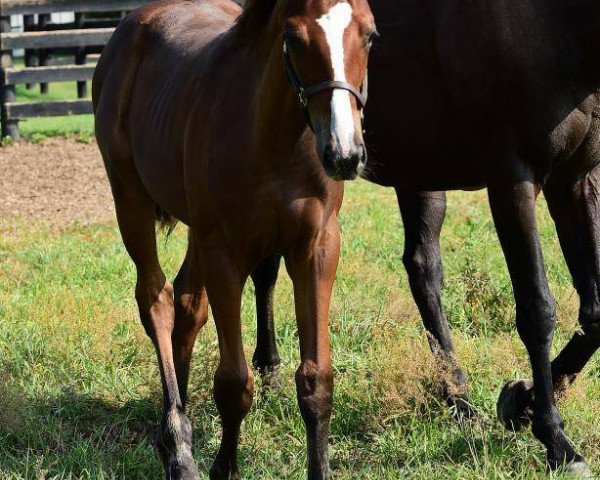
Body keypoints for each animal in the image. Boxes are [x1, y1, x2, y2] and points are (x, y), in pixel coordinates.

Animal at [92, 0, 376, 478]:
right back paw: (177, 443)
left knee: (188, 302)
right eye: (293, 37)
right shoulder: (223, 253)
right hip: (130, 198)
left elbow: (316, 378)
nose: (344, 153)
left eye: (370, 35)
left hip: (197, 229)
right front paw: (221, 466)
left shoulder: (318, 246)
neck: (274, 138)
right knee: (156, 298)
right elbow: (233, 383)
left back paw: (177, 416)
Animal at [251, 0, 600, 476]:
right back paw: (268, 373)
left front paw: (519, 401)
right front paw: (556, 439)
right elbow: (537, 309)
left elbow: (595, 312)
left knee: (422, 270)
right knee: (265, 270)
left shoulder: (576, 178)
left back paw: (461, 402)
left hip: (419, 171)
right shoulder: (513, 179)